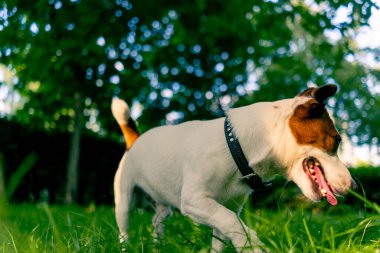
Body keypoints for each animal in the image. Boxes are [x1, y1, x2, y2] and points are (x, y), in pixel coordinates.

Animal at [110, 84, 354, 251]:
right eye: (337, 140)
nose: (352, 185)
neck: (237, 147)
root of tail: (135, 140)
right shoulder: (194, 200)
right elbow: (232, 222)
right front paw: (253, 245)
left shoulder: (224, 207)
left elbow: (223, 232)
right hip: (124, 200)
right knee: (124, 228)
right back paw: (125, 246)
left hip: (162, 205)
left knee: (157, 219)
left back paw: (158, 244)